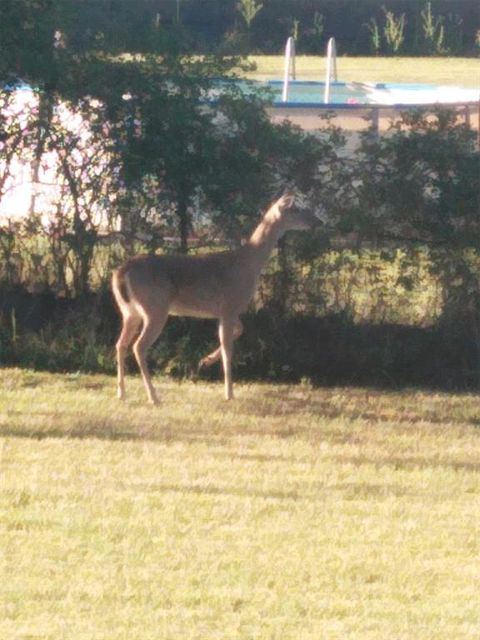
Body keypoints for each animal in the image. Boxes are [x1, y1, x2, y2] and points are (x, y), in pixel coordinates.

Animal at [112, 195, 322, 404]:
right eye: (296, 209)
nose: (318, 221)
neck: (248, 264)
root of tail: (121, 272)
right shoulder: (229, 305)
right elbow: (229, 349)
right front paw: (229, 393)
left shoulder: (227, 310)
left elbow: (239, 330)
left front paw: (206, 360)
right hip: (155, 307)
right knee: (138, 346)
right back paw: (153, 396)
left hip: (129, 312)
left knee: (120, 344)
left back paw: (122, 392)